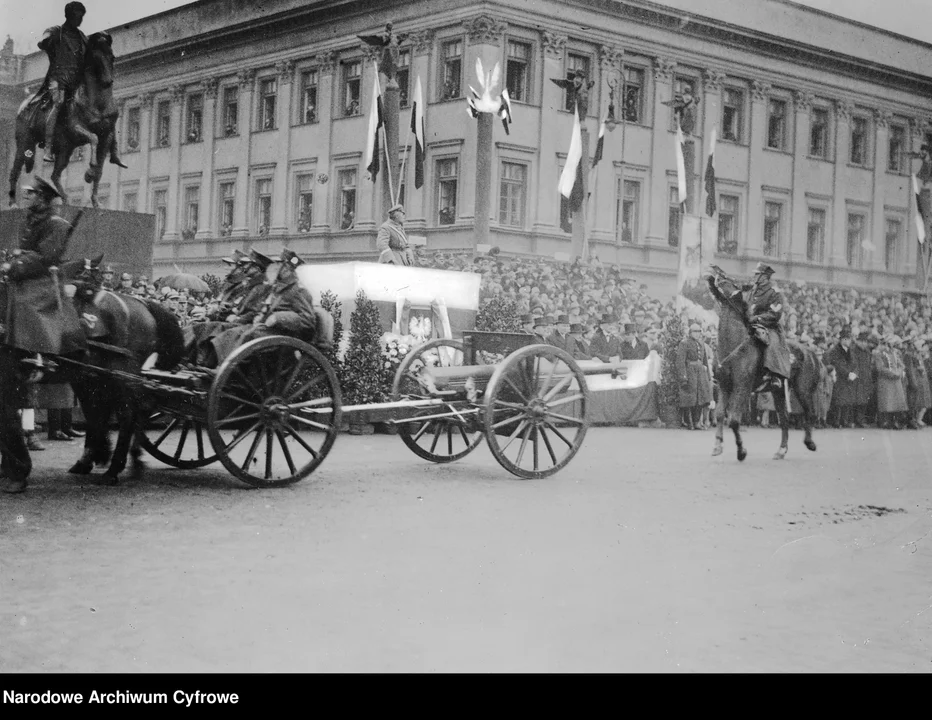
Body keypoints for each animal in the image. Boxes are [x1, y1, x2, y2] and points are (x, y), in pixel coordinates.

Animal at [708, 270, 820, 462]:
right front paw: (717, 446)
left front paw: (741, 451)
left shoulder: (742, 387)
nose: (716, 273)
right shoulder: (724, 385)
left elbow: (734, 420)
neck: (732, 345)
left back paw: (810, 443)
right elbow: (720, 414)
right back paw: (781, 450)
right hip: (778, 392)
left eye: (733, 282)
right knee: (784, 419)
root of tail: (809, 351)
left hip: (802, 390)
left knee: (809, 413)